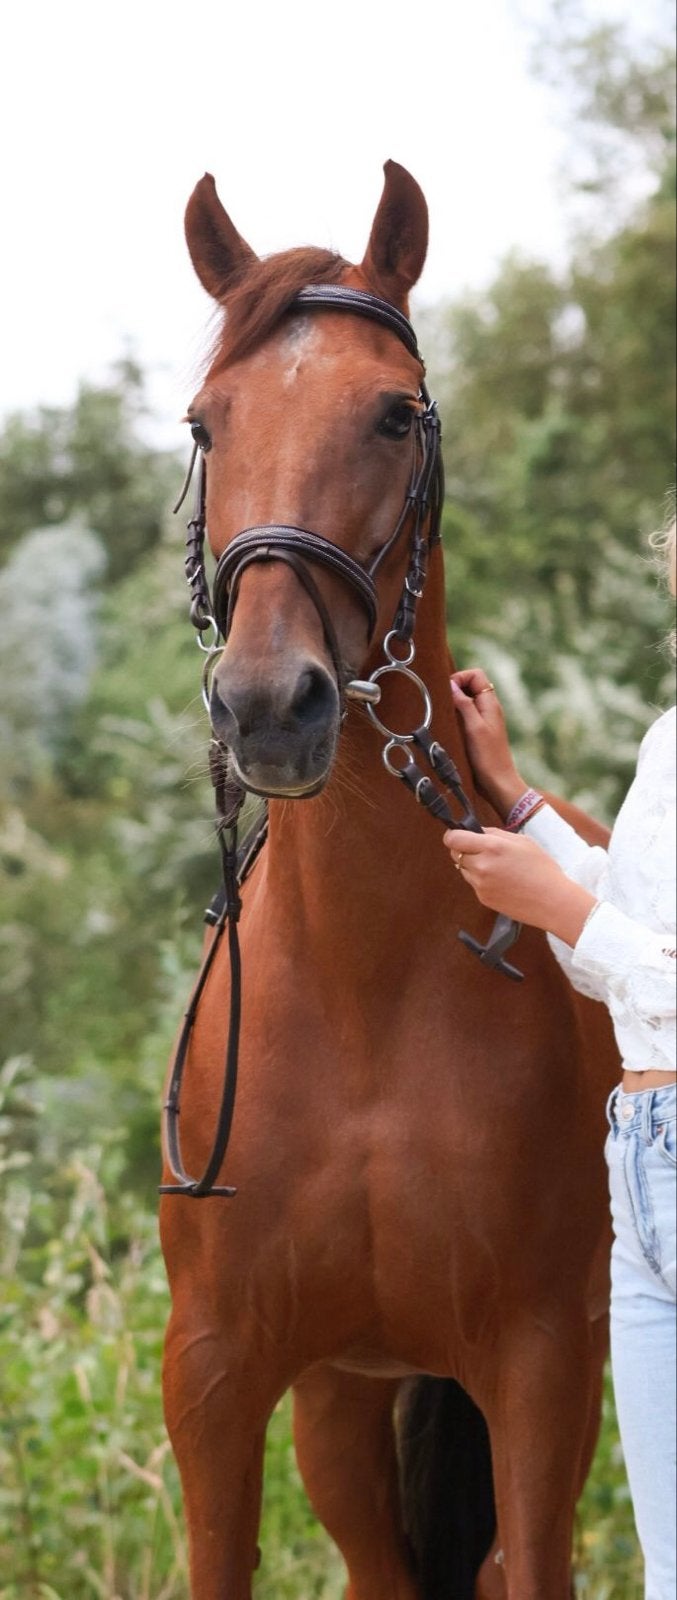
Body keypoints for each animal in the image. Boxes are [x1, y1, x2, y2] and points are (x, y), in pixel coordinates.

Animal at [160, 160, 619, 1600]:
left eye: (394, 412)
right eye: (207, 421)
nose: (267, 706)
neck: (362, 994)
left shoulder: (539, 1370)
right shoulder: (216, 1379)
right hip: (344, 1402)